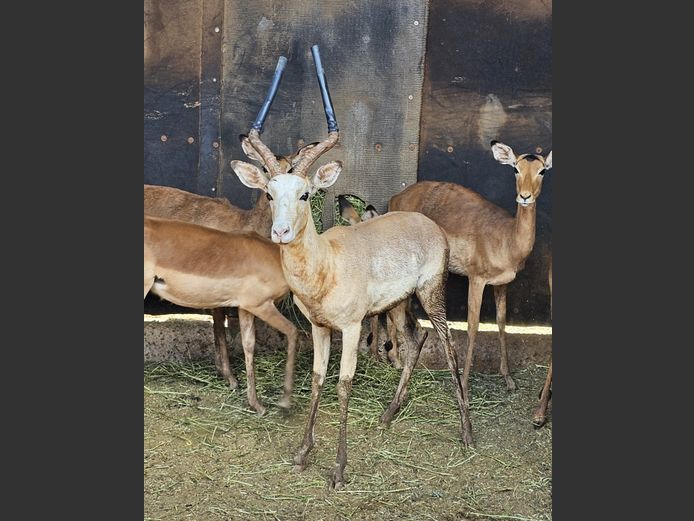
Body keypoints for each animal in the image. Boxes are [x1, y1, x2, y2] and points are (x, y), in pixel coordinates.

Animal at [231, 47, 470, 488]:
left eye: (305, 194)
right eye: (269, 193)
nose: (281, 232)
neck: (326, 265)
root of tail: (428, 223)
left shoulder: (353, 326)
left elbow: (343, 385)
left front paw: (339, 469)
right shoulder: (320, 327)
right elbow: (317, 380)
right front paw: (302, 453)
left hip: (431, 293)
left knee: (446, 343)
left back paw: (467, 433)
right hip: (398, 303)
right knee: (415, 341)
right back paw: (389, 414)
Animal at [392, 140, 556, 388]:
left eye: (542, 170)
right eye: (515, 168)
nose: (525, 196)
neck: (507, 239)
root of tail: (397, 196)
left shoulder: (502, 283)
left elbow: (501, 322)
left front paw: (508, 378)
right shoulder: (476, 279)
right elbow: (473, 326)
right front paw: (465, 384)